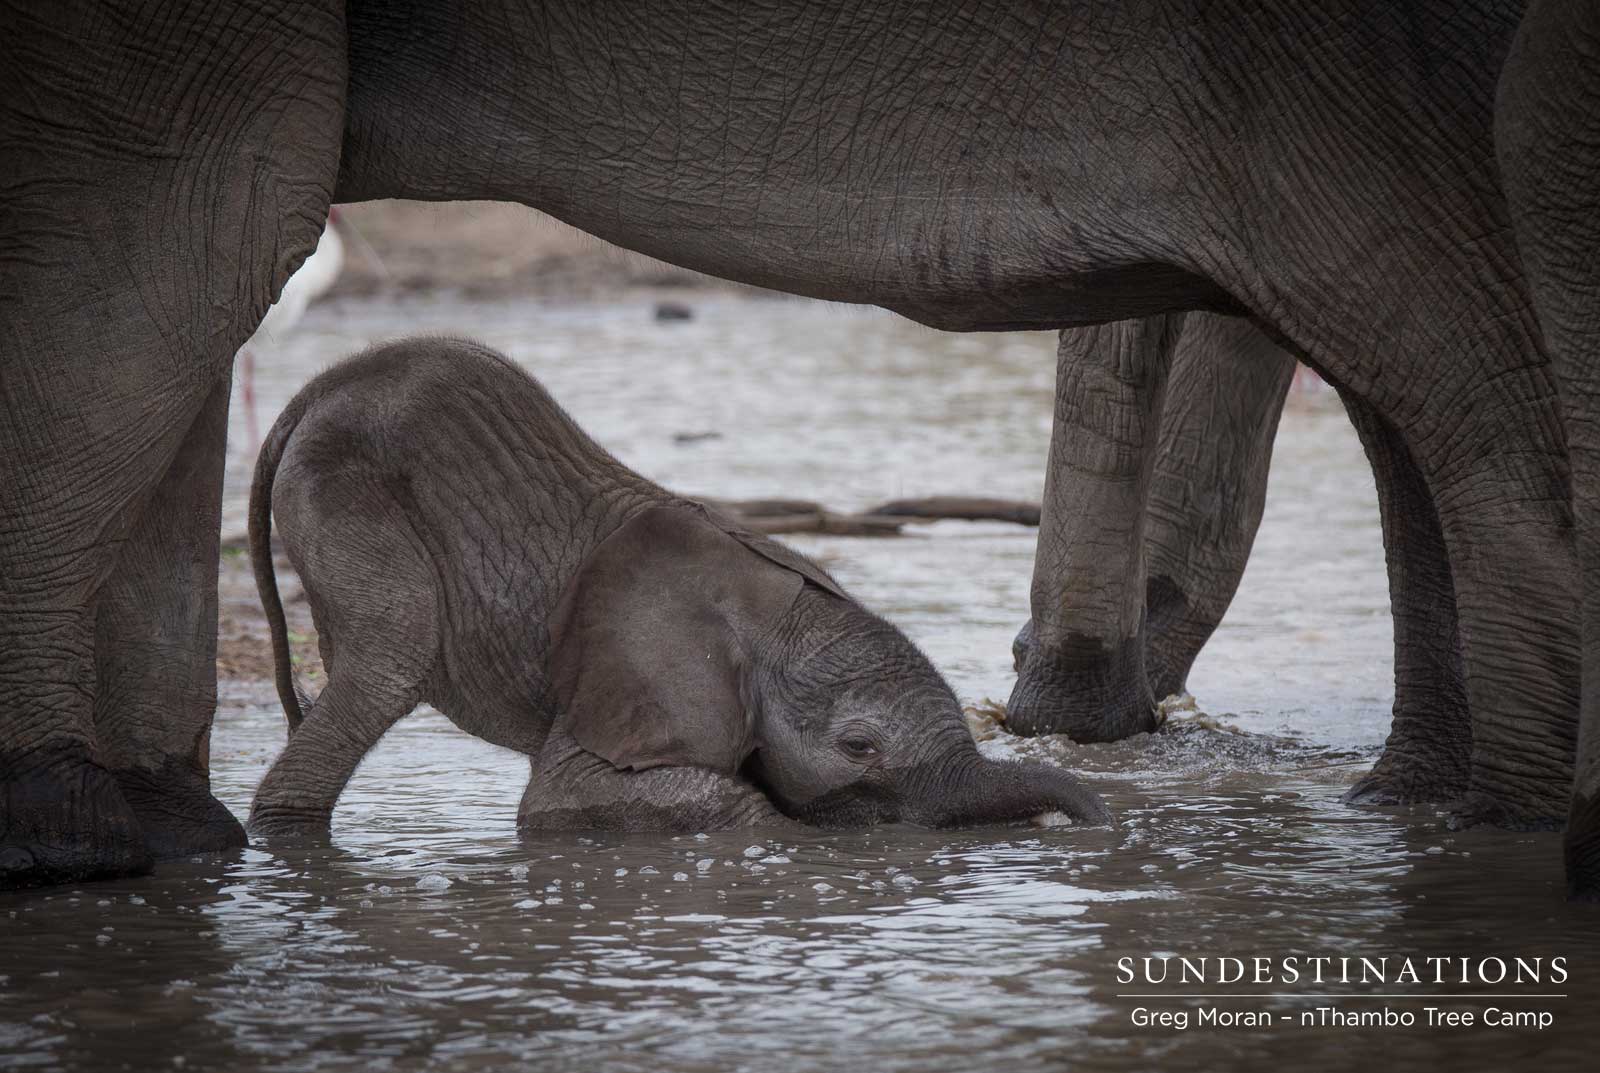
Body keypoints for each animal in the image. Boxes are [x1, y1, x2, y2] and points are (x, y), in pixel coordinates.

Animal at [245, 337, 1111, 834]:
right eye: (858, 746)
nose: (1094, 824)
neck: (771, 616)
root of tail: (318, 388)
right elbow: (561, 799)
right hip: (346, 498)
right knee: (391, 657)